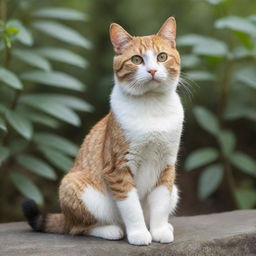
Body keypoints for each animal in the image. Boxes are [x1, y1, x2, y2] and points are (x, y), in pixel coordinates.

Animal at [21, 16, 182, 246]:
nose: (152, 71)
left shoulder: (166, 165)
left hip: (175, 189)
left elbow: (160, 203)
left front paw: (159, 230)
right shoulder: (118, 168)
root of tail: (65, 216)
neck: (152, 107)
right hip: (76, 187)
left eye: (162, 57)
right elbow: (132, 207)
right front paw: (139, 234)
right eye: (137, 60)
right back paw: (112, 230)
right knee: (78, 228)